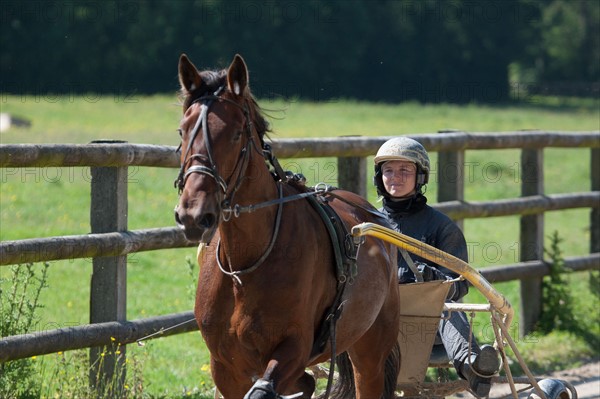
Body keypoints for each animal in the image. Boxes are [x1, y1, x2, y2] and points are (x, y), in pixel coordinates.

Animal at [172, 54, 398, 399]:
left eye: (236, 134)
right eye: (183, 131)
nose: (193, 214)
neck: (246, 265)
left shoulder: (293, 349)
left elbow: (268, 386)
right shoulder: (225, 367)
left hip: (371, 347)